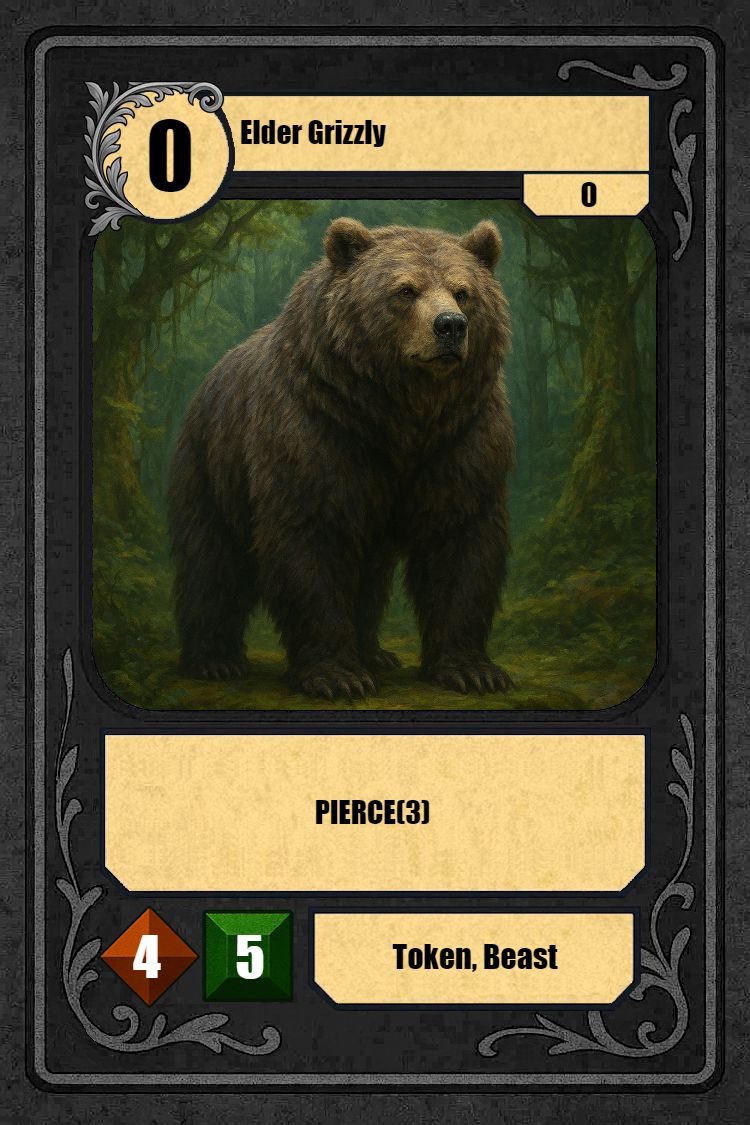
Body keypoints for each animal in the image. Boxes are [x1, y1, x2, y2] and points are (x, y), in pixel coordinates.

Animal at [167, 217, 515, 699]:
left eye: (463, 291)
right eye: (405, 290)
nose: (450, 326)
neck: (401, 412)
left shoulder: (460, 438)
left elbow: (462, 540)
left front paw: (472, 669)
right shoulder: (317, 431)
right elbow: (312, 543)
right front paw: (338, 676)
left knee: (371, 573)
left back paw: (374, 653)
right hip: (212, 463)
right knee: (213, 557)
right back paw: (215, 660)